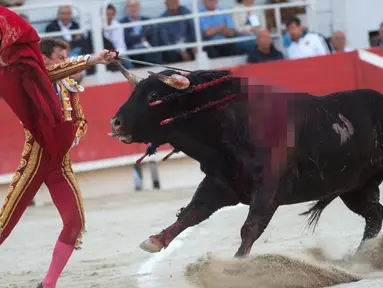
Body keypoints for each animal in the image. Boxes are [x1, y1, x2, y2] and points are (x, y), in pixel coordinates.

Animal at [109, 67, 383, 256]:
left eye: (153, 95)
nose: (115, 122)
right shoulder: (220, 183)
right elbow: (190, 213)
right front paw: (154, 240)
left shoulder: (270, 186)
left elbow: (251, 226)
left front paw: (238, 265)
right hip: (354, 188)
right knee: (374, 215)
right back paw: (362, 255)